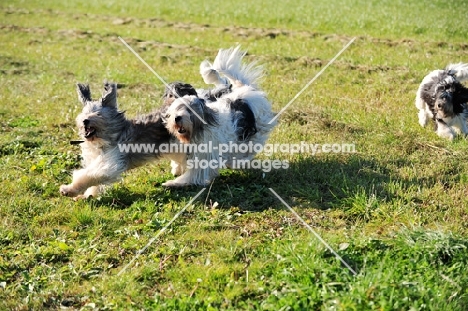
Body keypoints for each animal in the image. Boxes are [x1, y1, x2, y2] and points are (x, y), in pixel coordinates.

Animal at [163, 46, 276, 188]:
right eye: (176, 109)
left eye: (190, 111)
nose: (177, 118)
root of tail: (246, 88)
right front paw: (177, 170)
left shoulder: (205, 156)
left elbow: (194, 174)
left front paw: (174, 182)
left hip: (257, 131)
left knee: (249, 147)